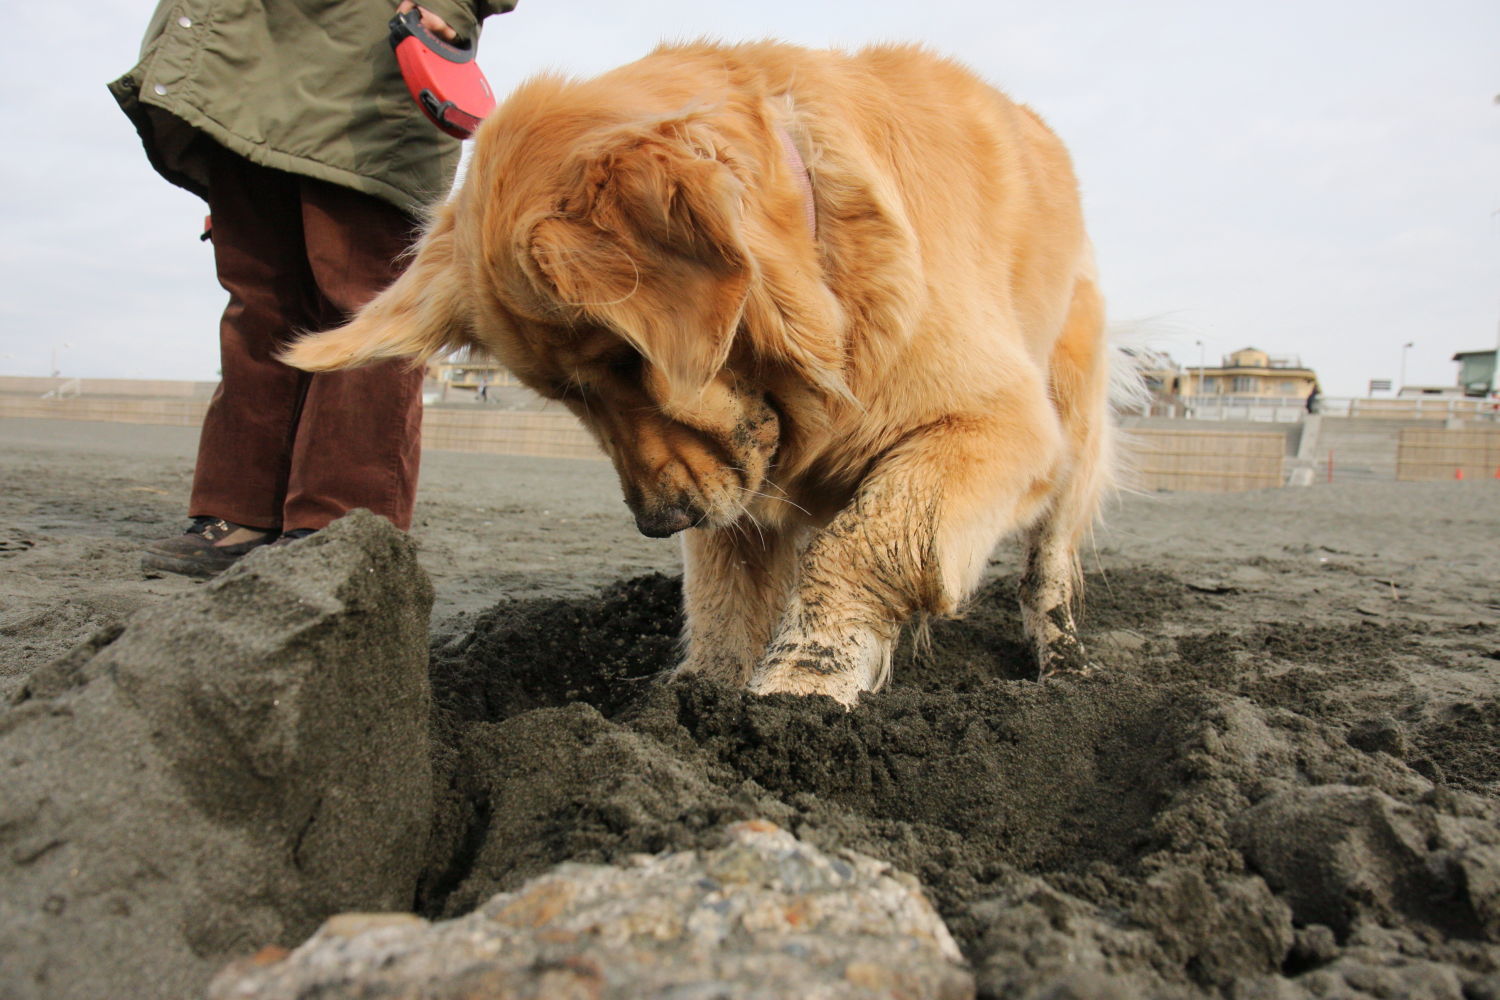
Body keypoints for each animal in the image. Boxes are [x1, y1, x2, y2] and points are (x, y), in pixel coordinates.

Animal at [286, 39, 1122, 707]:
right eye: (564, 395)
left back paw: (1067, 663)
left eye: (626, 358)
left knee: (1048, 568)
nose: (659, 522)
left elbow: (868, 538)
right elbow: (725, 594)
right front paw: (694, 706)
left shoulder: (997, 423)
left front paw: (804, 682)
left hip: (1072, 418)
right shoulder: (739, 482)